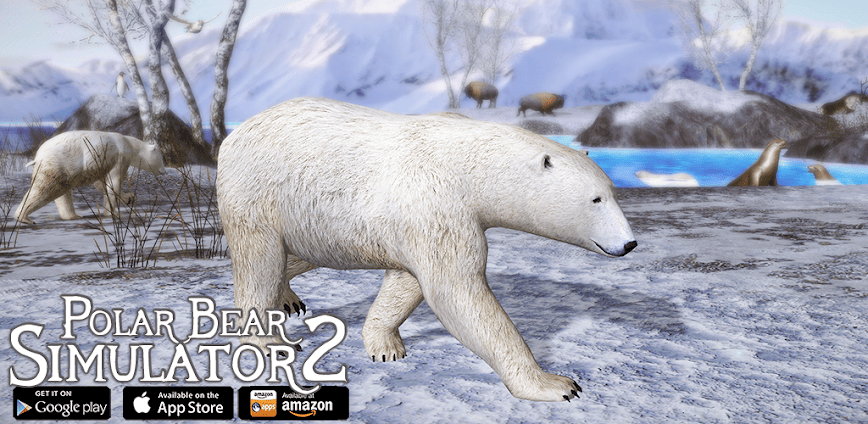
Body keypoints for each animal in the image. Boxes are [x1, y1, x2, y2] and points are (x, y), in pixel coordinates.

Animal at [14, 130, 166, 224]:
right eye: (161, 158)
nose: (164, 171)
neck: (130, 144)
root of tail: (38, 155)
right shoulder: (120, 157)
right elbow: (114, 182)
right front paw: (113, 212)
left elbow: (101, 184)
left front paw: (129, 198)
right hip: (56, 164)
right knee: (45, 189)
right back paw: (24, 218)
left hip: (63, 171)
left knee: (62, 192)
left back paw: (73, 215)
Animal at [215, 97, 637, 402]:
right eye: (596, 199)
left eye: (613, 192)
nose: (629, 243)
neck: (470, 161)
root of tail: (234, 134)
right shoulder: (437, 203)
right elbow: (459, 294)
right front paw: (555, 384)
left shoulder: (421, 222)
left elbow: (407, 283)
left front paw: (384, 345)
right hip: (260, 193)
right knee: (261, 261)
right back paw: (269, 339)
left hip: (310, 219)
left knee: (296, 257)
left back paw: (287, 299)